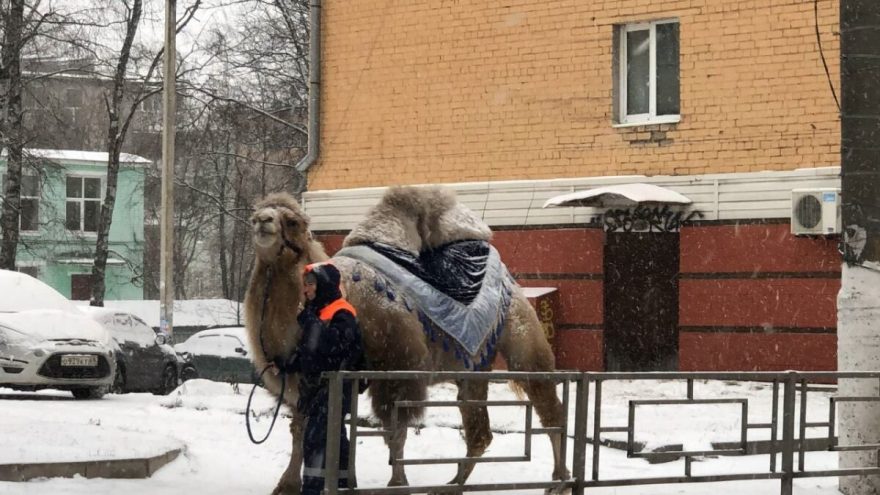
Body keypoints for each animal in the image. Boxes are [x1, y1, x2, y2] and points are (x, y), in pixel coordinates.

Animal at [244, 187, 570, 495]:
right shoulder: (309, 378)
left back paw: (559, 481)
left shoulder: (398, 366)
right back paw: (452, 485)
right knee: (480, 431)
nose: (262, 221)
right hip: (473, 366)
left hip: (521, 329)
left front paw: (397, 485)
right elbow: (301, 428)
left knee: (548, 404)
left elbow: (395, 431)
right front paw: (287, 485)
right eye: (256, 214)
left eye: (293, 221)